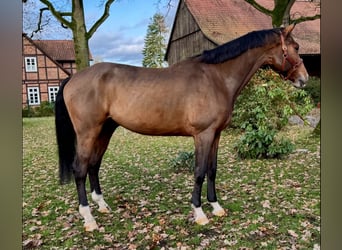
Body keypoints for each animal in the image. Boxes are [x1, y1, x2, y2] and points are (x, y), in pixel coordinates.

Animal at [55, 24, 308, 231]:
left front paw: (216, 207)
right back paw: (89, 218)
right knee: (80, 169)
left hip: (105, 130)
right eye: (295, 46)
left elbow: (212, 170)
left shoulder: (216, 135)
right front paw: (199, 213)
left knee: (94, 165)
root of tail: (73, 78)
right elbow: (199, 172)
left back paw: (102, 205)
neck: (216, 78)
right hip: (87, 133)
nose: (304, 79)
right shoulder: (203, 135)